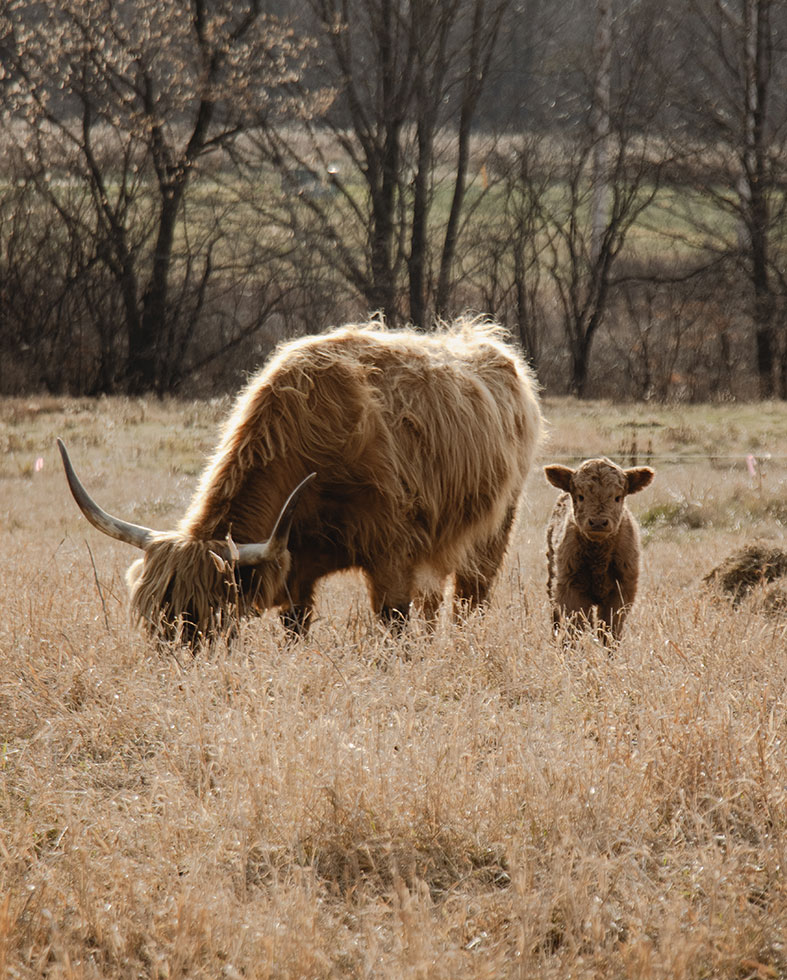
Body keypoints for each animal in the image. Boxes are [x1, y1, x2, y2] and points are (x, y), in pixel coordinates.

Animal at [60, 318, 540, 648]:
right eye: (153, 618)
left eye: (203, 617)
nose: (175, 672)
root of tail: (490, 344)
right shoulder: (296, 570)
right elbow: (296, 629)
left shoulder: (393, 555)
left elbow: (393, 627)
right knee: (435, 600)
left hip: (495, 528)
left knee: (471, 598)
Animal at [544, 458, 656, 644]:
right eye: (580, 496)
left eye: (617, 497)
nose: (597, 522)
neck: (598, 558)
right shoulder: (570, 588)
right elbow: (576, 627)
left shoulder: (621, 591)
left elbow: (610, 630)